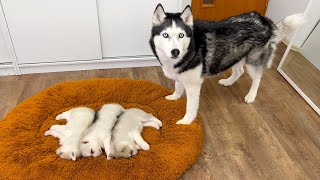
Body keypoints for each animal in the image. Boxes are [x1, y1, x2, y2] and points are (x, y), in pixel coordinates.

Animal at [150, 4, 304, 125]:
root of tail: (266, 21)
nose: (175, 51)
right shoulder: (182, 75)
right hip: (233, 55)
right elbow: (178, 87)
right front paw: (173, 97)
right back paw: (228, 82)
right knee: (239, 71)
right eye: (165, 35)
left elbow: (191, 107)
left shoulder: (194, 84)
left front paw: (186, 122)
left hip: (252, 61)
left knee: (257, 78)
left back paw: (251, 95)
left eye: (181, 35)